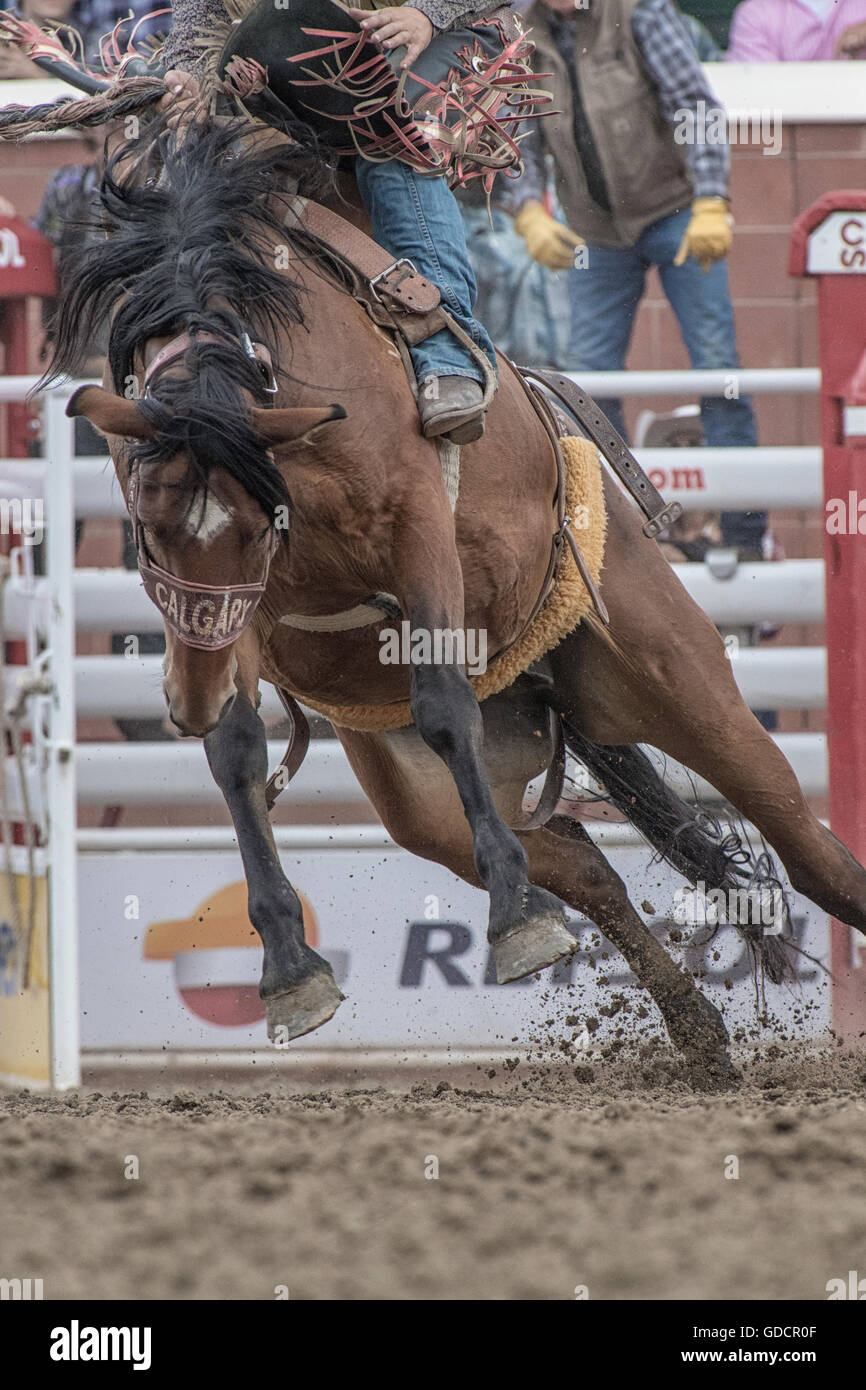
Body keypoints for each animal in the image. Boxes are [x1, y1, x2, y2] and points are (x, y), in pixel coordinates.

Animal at [47, 117, 866, 1086]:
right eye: (144, 523)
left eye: (258, 524)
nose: (187, 695)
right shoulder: (243, 621)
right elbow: (238, 755)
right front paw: (290, 970)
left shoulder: (416, 535)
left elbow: (440, 701)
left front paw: (506, 922)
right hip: (429, 806)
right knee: (585, 868)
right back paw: (690, 1029)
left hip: (680, 681)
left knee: (810, 852)